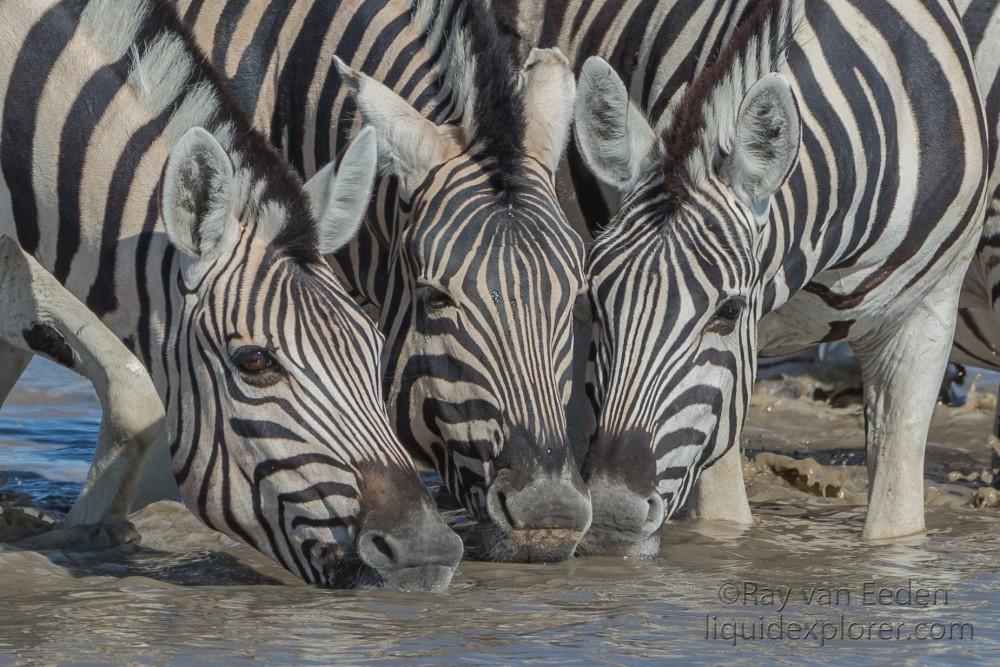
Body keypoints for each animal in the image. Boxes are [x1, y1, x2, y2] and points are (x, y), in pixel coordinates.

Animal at [568, 0, 988, 556]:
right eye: (596, 301)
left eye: (728, 312)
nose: (612, 516)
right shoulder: (732, 379)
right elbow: (723, 522)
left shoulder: (925, 318)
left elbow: (897, 522)